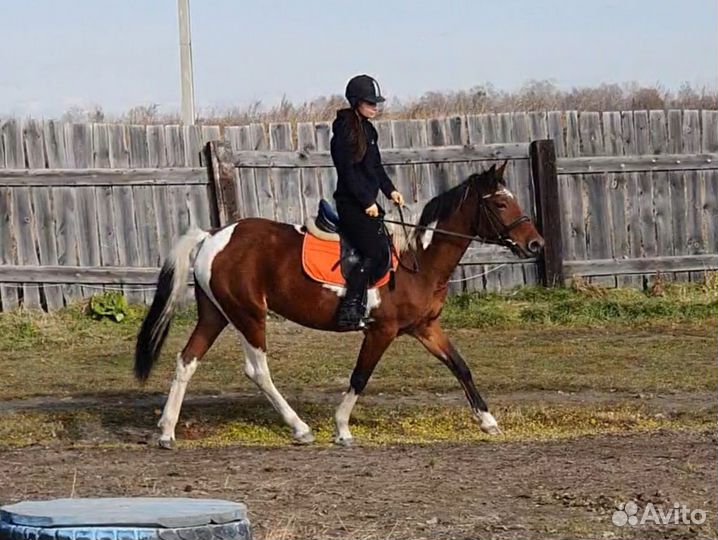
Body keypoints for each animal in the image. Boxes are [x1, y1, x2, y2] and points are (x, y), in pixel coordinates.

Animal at [134, 161, 544, 448]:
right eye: (502, 203)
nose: (536, 244)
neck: (417, 258)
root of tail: (213, 236)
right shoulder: (382, 331)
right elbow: (360, 376)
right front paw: (342, 428)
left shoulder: (426, 328)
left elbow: (460, 366)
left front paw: (488, 421)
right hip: (248, 315)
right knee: (257, 370)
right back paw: (300, 428)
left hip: (216, 314)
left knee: (187, 360)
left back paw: (167, 431)